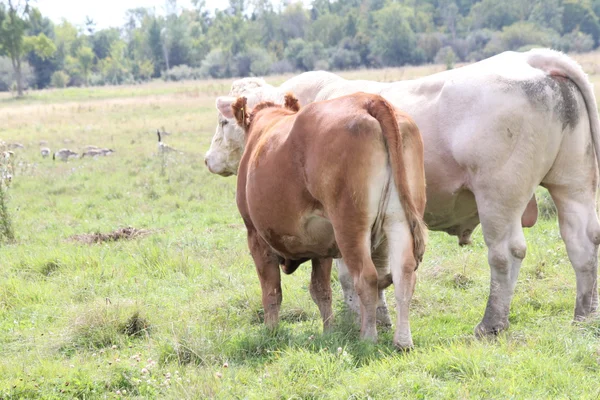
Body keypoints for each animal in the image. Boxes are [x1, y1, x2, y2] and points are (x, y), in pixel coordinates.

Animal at [232, 92, 428, 348]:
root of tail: (368, 99)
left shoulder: (255, 235)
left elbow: (272, 291)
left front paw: (271, 332)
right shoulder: (322, 245)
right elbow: (321, 290)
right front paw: (329, 332)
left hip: (350, 225)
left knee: (366, 278)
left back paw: (368, 338)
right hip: (398, 220)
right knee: (403, 274)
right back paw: (403, 341)